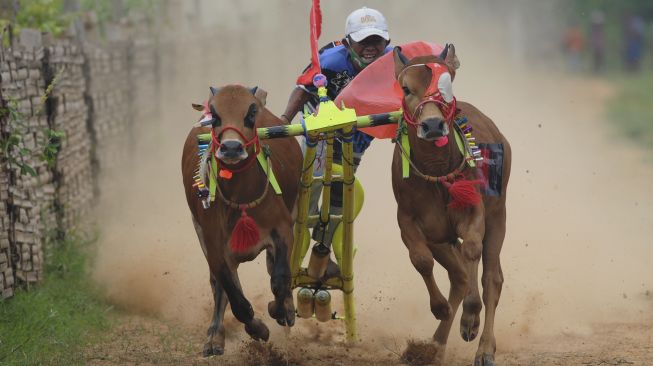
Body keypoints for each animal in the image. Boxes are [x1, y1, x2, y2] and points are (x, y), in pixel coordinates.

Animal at [181, 85, 304, 354]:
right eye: (215, 115)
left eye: (251, 113)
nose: (231, 148)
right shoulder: (213, 244)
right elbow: (234, 296)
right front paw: (258, 329)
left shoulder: (283, 228)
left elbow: (280, 278)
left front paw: (280, 310)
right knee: (220, 286)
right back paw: (215, 335)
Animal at [390, 46, 512, 366]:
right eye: (406, 88)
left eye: (447, 86)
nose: (432, 125)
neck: (436, 172)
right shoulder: (411, 222)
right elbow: (422, 260)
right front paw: (440, 308)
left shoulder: (474, 212)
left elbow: (472, 252)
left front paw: (470, 317)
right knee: (458, 275)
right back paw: (436, 344)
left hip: (499, 215)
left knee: (491, 278)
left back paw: (484, 347)